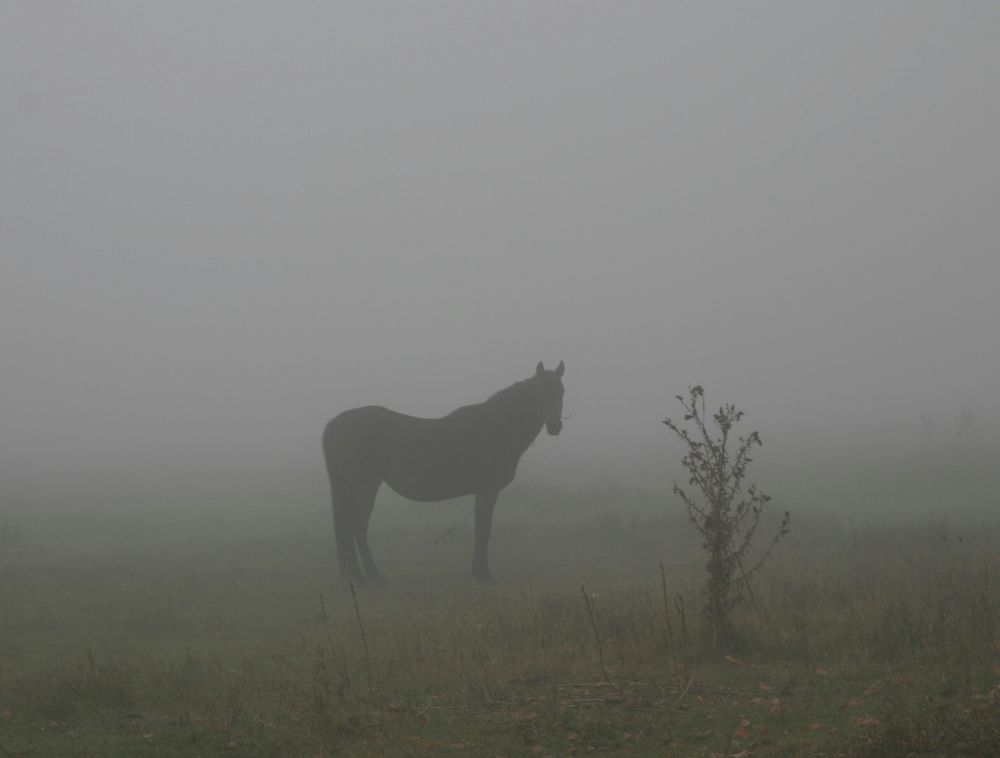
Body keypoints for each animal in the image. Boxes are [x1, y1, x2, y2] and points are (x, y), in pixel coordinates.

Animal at [322, 361, 565, 583]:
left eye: (562, 391)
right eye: (541, 391)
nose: (555, 427)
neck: (496, 426)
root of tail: (338, 421)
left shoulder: (483, 493)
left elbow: (480, 528)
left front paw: (477, 571)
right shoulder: (487, 491)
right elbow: (483, 529)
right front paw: (483, 573)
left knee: (344, 525)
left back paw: (355, 575)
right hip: (366, 487)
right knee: (357, 526)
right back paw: (373, 576)